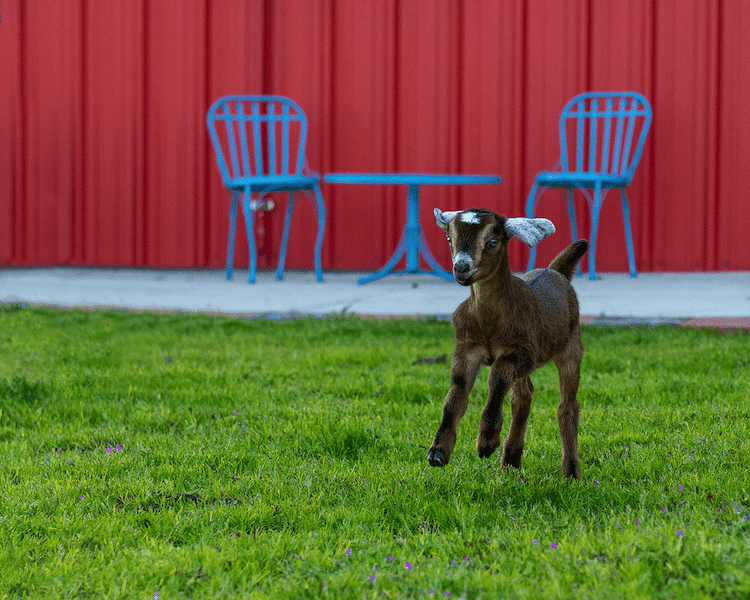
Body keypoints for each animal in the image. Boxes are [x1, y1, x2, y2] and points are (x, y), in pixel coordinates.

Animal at [428, 209, 588, 480]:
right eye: (450, 239)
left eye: (493, 241)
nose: (461, 267)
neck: (489, 321)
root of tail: (556, 272)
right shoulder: (466, 349)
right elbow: (455, 395)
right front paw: (438, 451)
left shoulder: (519, 351)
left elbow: (497, 380)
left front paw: (486, 443)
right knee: (523, 395)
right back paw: (511, 459)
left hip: (571, 348)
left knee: (567, 407)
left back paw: (570, 472)